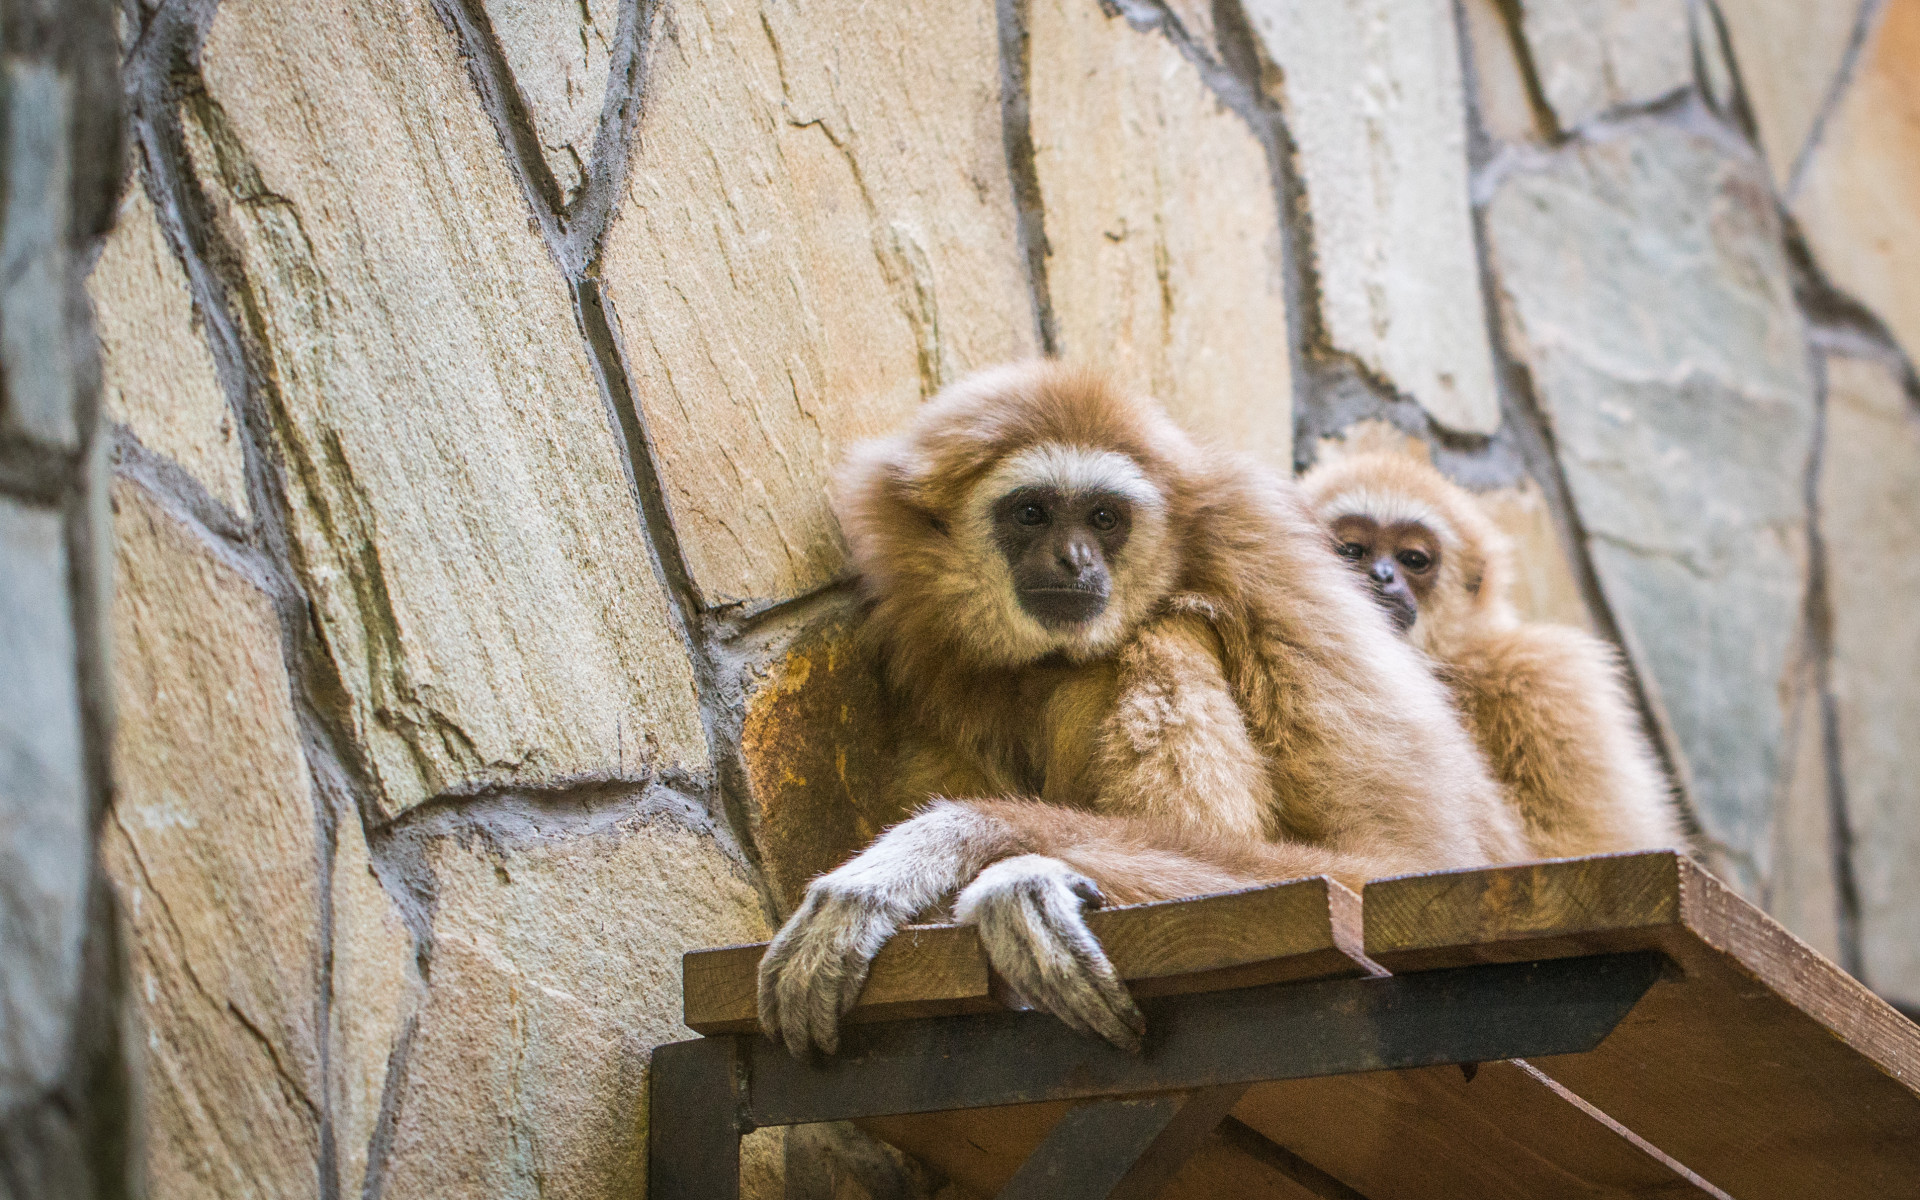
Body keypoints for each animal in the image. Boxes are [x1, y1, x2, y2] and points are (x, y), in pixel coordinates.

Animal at [756, 362, 1528, 1058]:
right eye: (1032, 512)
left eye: (1104, 518)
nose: (1074, 559)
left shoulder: (1274, 573)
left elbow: (1387, 861)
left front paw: (958, 853)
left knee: (1164, 631)